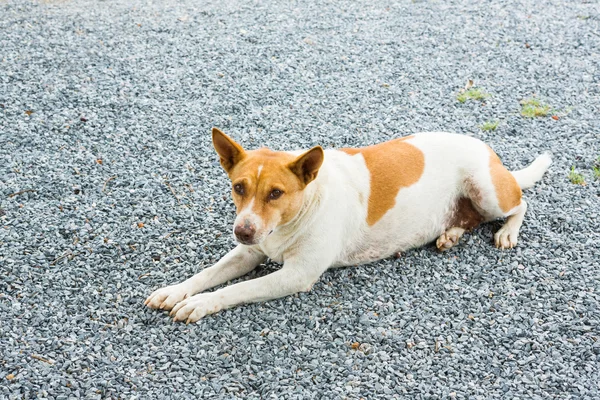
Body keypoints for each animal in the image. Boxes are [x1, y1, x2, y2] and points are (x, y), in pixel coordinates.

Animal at [145, 129, 552, 324]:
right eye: (238, 187)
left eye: (276, 193)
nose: (241, 231)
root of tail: (489, 150)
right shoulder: (247, 253)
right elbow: (207, 274)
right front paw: (175, 292)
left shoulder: (296, 275)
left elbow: (234, 290)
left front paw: (199, 304)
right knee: (468, 217)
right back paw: (450, 232)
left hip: (488, 190)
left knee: (521, 203)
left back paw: (507, 231)